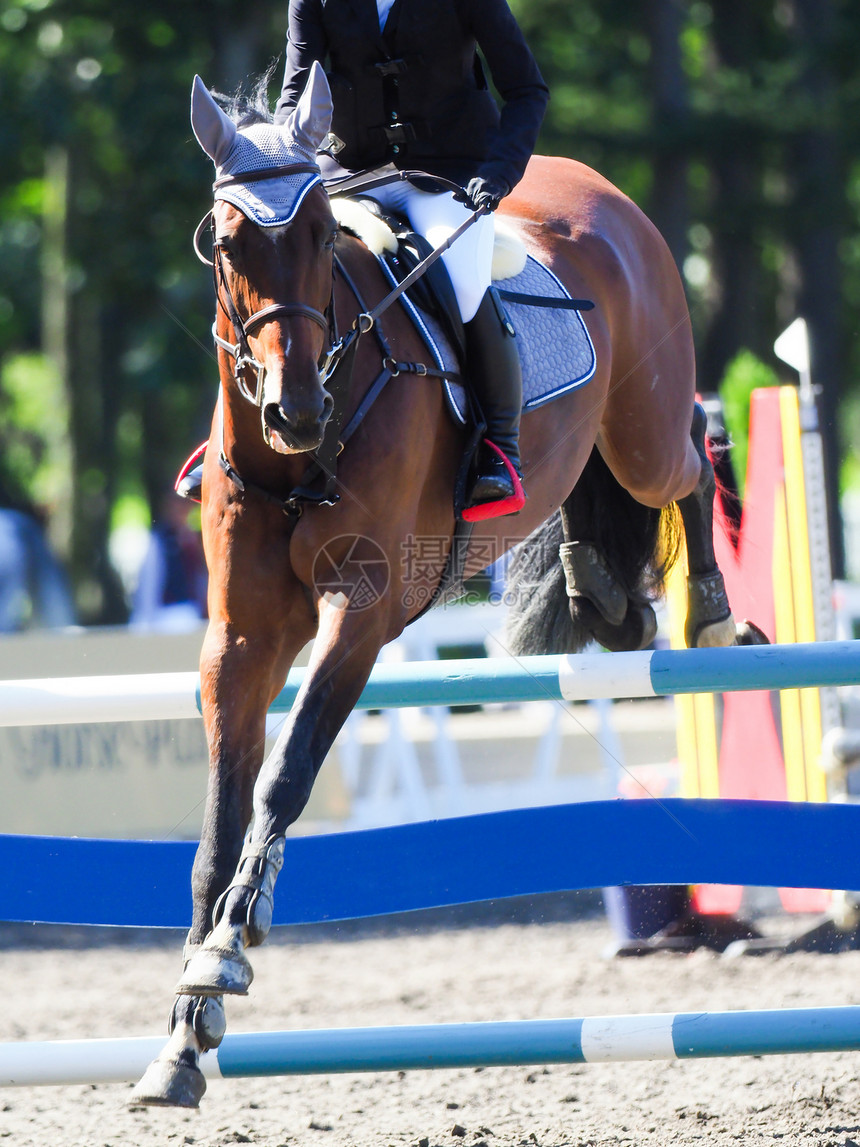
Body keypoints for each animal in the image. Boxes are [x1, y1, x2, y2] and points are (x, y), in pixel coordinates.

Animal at [133, 60, 747, 1101]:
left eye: (318, 236)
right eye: (227, 241)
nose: (296, 410)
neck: (300, 460)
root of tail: (601, 188)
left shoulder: (361, 614)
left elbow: (285, 777)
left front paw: (227, 955)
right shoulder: (240, 640)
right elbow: (218, 821)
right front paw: (183, 1030)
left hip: (645, 431)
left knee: (692, 450)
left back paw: (709, 614)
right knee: (584, 499)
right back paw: (604, 600)